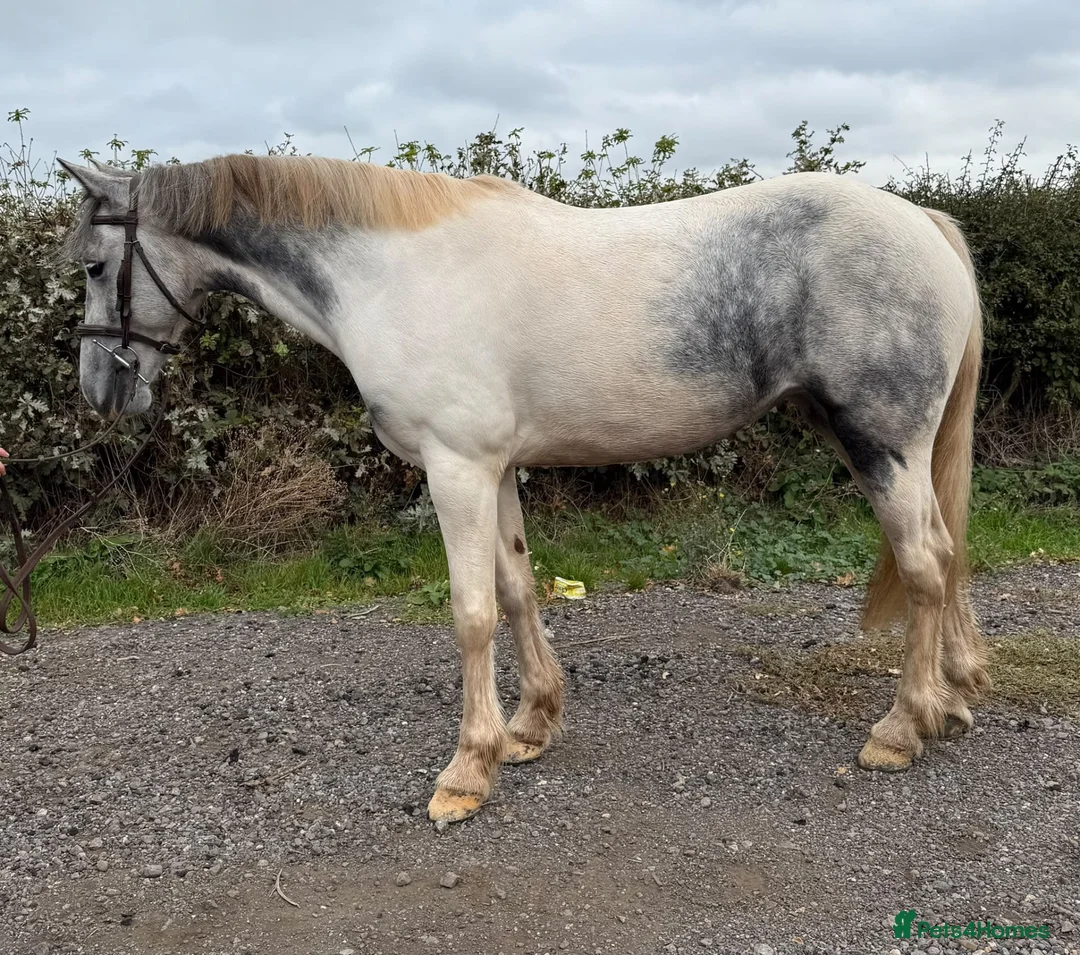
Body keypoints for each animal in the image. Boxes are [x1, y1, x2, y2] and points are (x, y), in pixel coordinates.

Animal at [56, 153, 989, 824]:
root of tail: (923, 223)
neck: (389, 274)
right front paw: (533, 724)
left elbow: (471, 611)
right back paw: (953, 696)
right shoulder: (494, 467)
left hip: (883, 444)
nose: (100, 388)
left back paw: (902, 727)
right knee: (946, 554)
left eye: (97, 266)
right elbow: (515, 588)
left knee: (924, 563)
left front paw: (468, 770)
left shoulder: (456, 467)